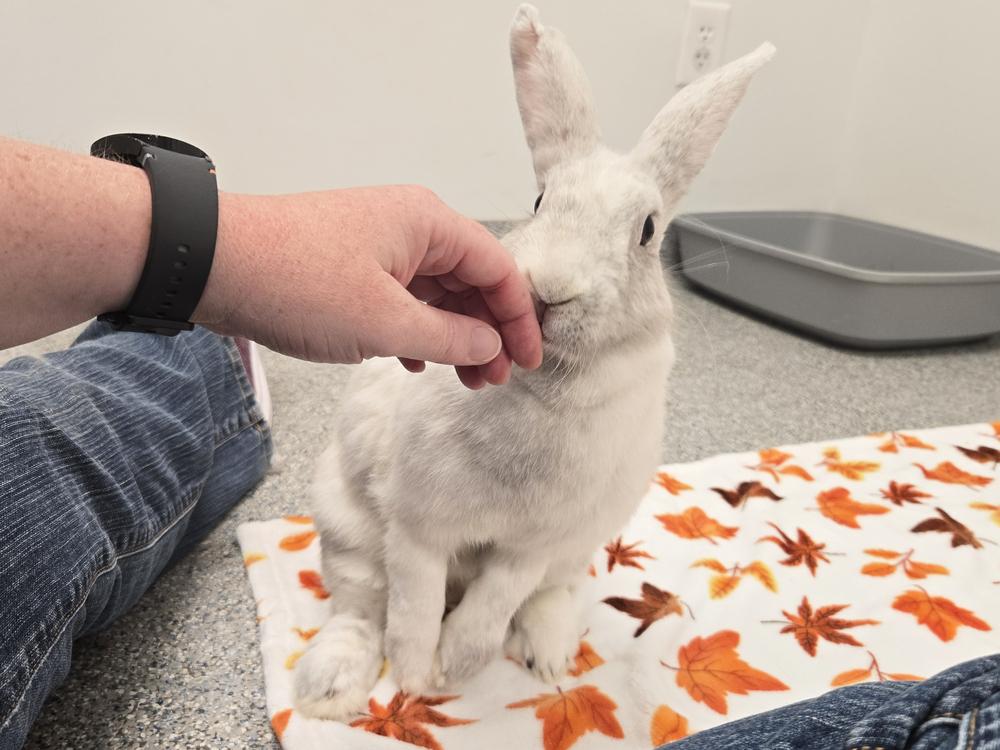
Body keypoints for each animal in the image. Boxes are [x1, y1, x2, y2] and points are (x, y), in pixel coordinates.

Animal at [293, 3, 775, 721]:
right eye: (542, 199)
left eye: (648, 231)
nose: (548, 290)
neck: (546, 384)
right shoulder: (417, 529)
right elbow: (414, 609)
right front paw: (416, 679)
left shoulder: (533, 546)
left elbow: (493, 605)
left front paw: (455, 665)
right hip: (345, 526)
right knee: (361, 606)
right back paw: (328, 692)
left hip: (579, 547)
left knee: (546, 596)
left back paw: (549, 657)